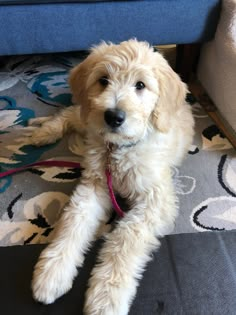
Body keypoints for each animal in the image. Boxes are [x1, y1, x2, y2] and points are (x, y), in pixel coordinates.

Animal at [30, 40, 194, 315]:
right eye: (103, 80)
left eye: (140, 85)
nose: (114, 117)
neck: (118, 150)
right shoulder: (94, 186)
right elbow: (73, 223)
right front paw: (52, 272)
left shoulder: (156, 201)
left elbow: (125, 238)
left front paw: (106, 297)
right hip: (88, 118)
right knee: (71, 112)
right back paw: (42, 133)